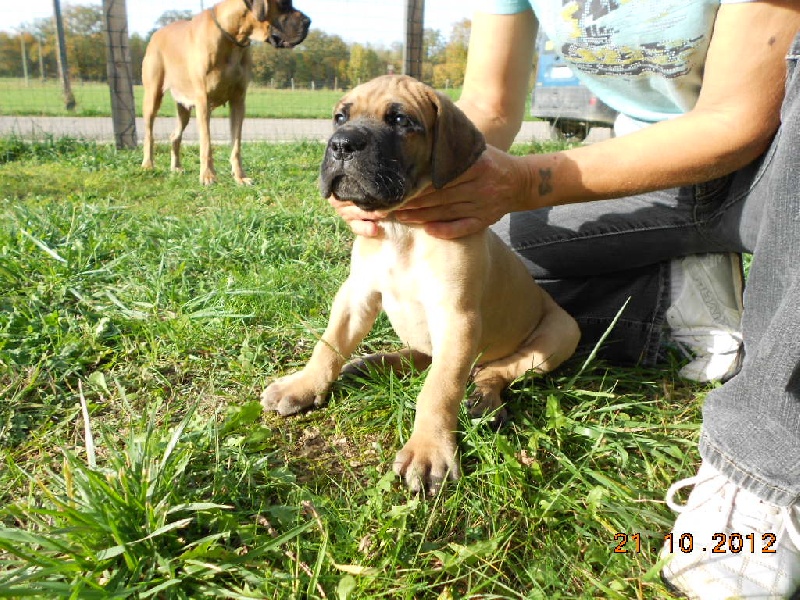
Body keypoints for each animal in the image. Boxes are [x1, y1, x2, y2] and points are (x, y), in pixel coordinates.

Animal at [140, 0, 310, 185]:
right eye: (284, 3)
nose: (308, 21)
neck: (233, 37)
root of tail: (156, 34)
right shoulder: (203, 102)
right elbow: (206, 143)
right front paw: (208, 175)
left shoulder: (238, 101)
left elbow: (236, 144)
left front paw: (240, 177)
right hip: (152, 96)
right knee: (149, 133)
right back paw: (148, 165)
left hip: (183, 106)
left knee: (174, 135)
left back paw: (176, 167)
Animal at [262, 75, 580, 493]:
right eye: (340, 117)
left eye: (400, 120)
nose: (342, 144)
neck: (402, 226)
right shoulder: (356, 293)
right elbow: (329, 345)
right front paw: (302, 386)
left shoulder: (456, 316)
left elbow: (439, 387)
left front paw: (429, 450)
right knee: (425, 358)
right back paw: (372, 363)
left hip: (559, 335)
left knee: (491, 372)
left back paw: (483, 399)